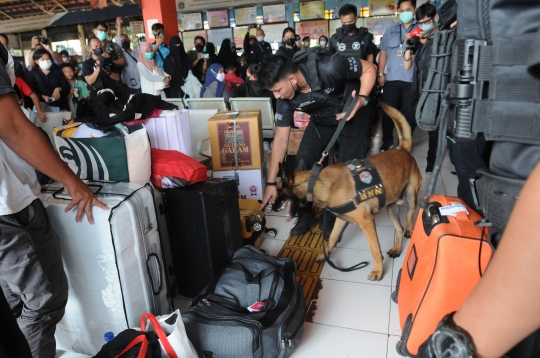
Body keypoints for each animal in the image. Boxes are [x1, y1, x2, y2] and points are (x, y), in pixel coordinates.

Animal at [278, 102, 422, 282]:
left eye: (278, 190)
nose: (271, 204)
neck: (314, 182)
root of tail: (403, 150)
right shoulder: (341, 219)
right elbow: (332, 238)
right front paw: (325, 255)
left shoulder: (367, 223)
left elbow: (375, 249)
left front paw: (378, 271)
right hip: (391, 206)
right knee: (398, 228)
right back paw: (396, 248)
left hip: (410, 196)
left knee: (409, 214)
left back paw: (410, 230)